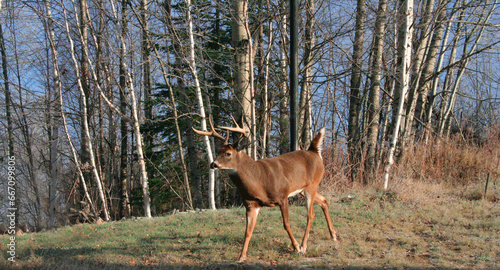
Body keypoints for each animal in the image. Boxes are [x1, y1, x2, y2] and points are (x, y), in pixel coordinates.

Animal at [193, 117, 338, 262]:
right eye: (217, 152)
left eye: (228, 153)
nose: (213, 164)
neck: (259, 181)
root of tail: (314, 152)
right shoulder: (251, 204)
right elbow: (248, 231)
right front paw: (241, 256)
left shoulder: (282, 196)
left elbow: (286, 224)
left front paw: (296, 248)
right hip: (304, 189)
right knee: (324, 200)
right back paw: (334, 235)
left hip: (311, 185)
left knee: (311, 214)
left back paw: (304, 246)